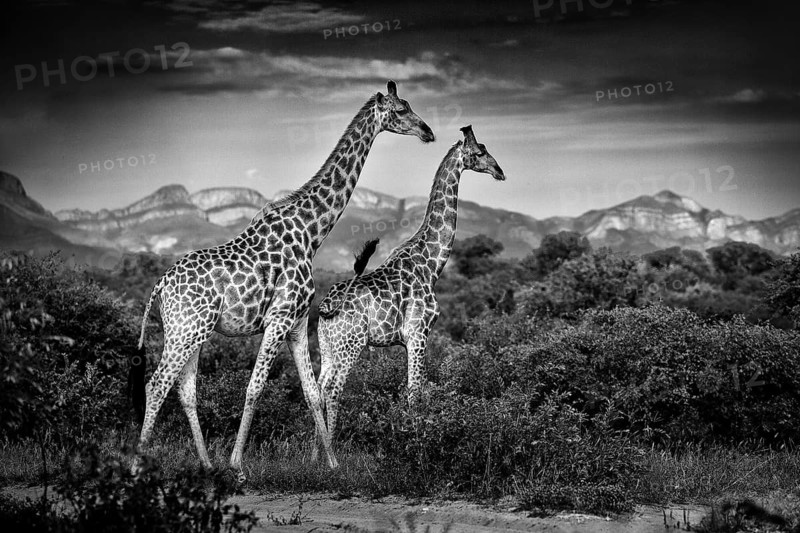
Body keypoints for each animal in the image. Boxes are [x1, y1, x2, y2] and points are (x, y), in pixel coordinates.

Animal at [135, 81, 435, 481]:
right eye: (401, 110)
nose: (428, 132)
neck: (311, 232)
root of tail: (160, 287)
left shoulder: (296, 323)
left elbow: (312, 392)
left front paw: (332, 464)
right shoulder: (278, 319)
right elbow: (255, 387)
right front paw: (238, 466)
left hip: (187, 331)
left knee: (184, 391)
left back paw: (206, 464)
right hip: (187, 329)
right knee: (156, 385)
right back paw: (138, 467)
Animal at [315, 125, 505, 453]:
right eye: (480, 151)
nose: (500, 171)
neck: (432, 263)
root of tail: (327, 306)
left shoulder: (407, 340)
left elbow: (413, 388)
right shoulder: (419, 332)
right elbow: (416, 390)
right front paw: (418, 445)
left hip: (327, 345)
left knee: (316, 387)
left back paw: (315, 454)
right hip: (351, 344)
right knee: (333, 389)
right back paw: (332, 453)